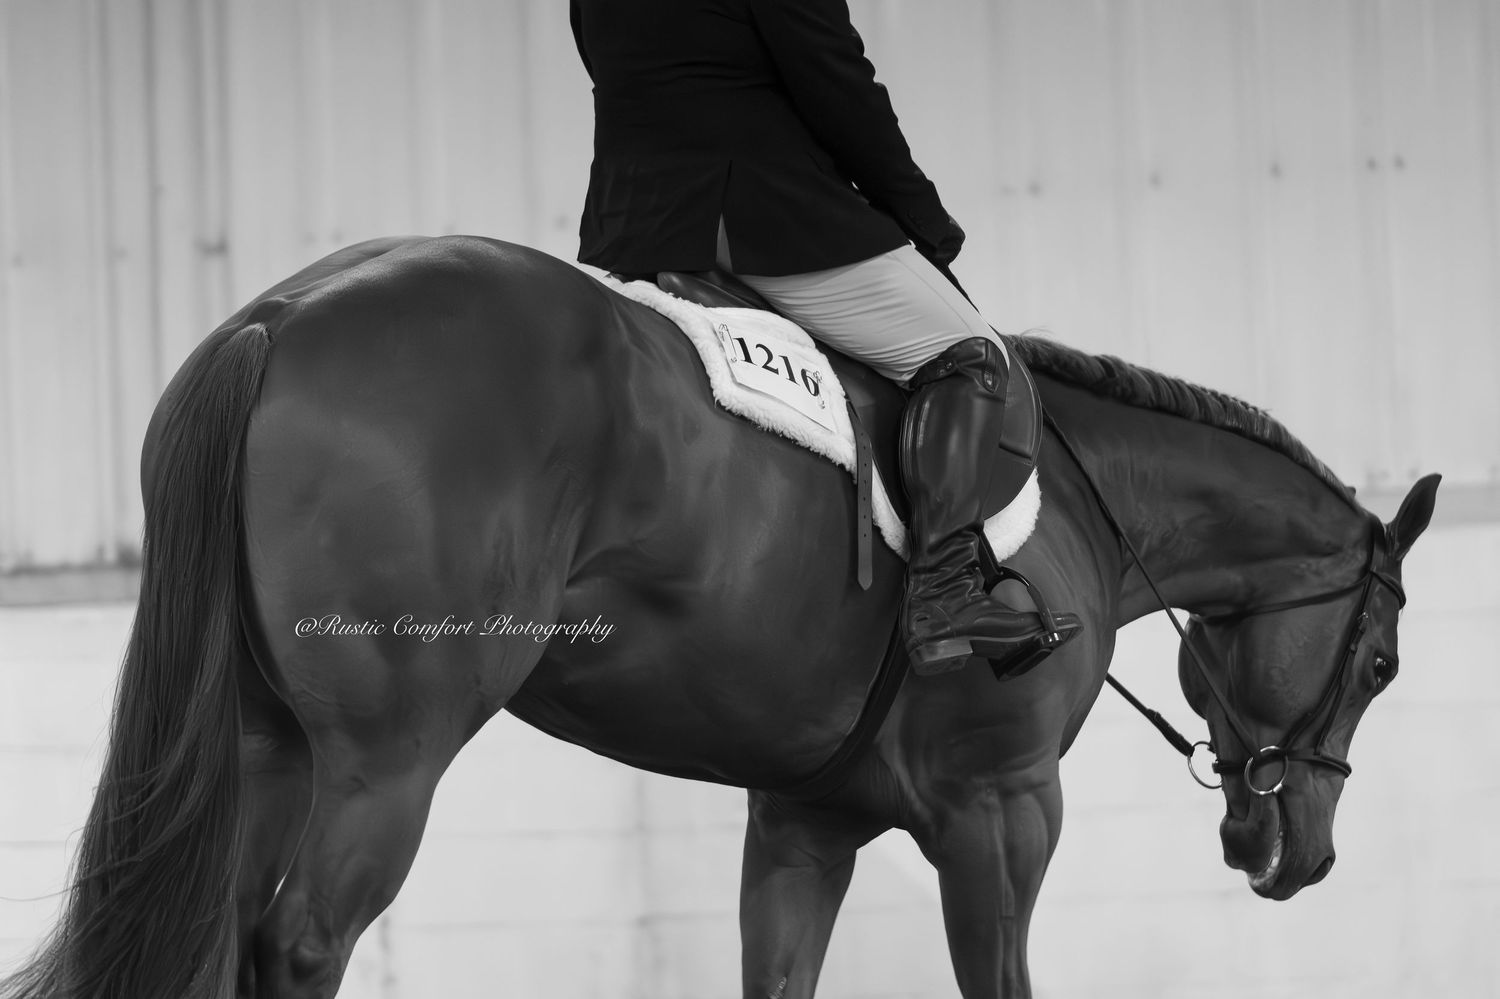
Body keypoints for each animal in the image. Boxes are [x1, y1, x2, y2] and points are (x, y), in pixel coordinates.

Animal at [0, 235, 1438, 999]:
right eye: (1377, 662)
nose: (1292, 852)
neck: (1085, 498)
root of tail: (278, 318)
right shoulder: (1004, 809)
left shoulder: (805, 816)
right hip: (385, 759)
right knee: (300, 944)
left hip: (263, 748)